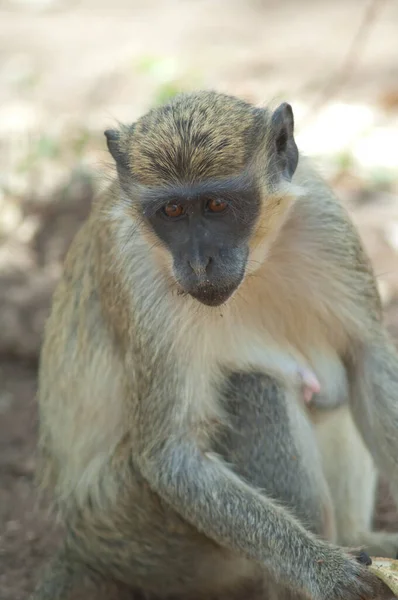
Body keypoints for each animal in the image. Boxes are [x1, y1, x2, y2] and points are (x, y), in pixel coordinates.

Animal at [28, 90, 398, 600]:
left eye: (217, 205)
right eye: (172, 212)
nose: (200, 262)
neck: (257, 261)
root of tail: (80, 543)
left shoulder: (326, 219)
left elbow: (369, 359)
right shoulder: (135, 270)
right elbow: (173, 456)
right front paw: (327, 572)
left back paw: (360, 539)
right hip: (145, 533)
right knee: (253, 385)